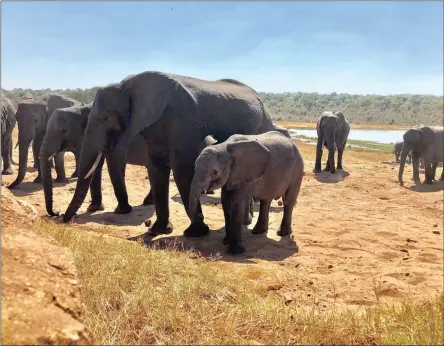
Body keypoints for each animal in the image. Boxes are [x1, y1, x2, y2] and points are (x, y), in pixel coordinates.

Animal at [61, 72, 278, 242]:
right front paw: (158, 230)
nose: (61, 217)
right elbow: (156, 169)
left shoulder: (183, 122)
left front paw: (196, 233)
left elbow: (183, 170)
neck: (128, 85)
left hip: (262, 128)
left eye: (105, 118)